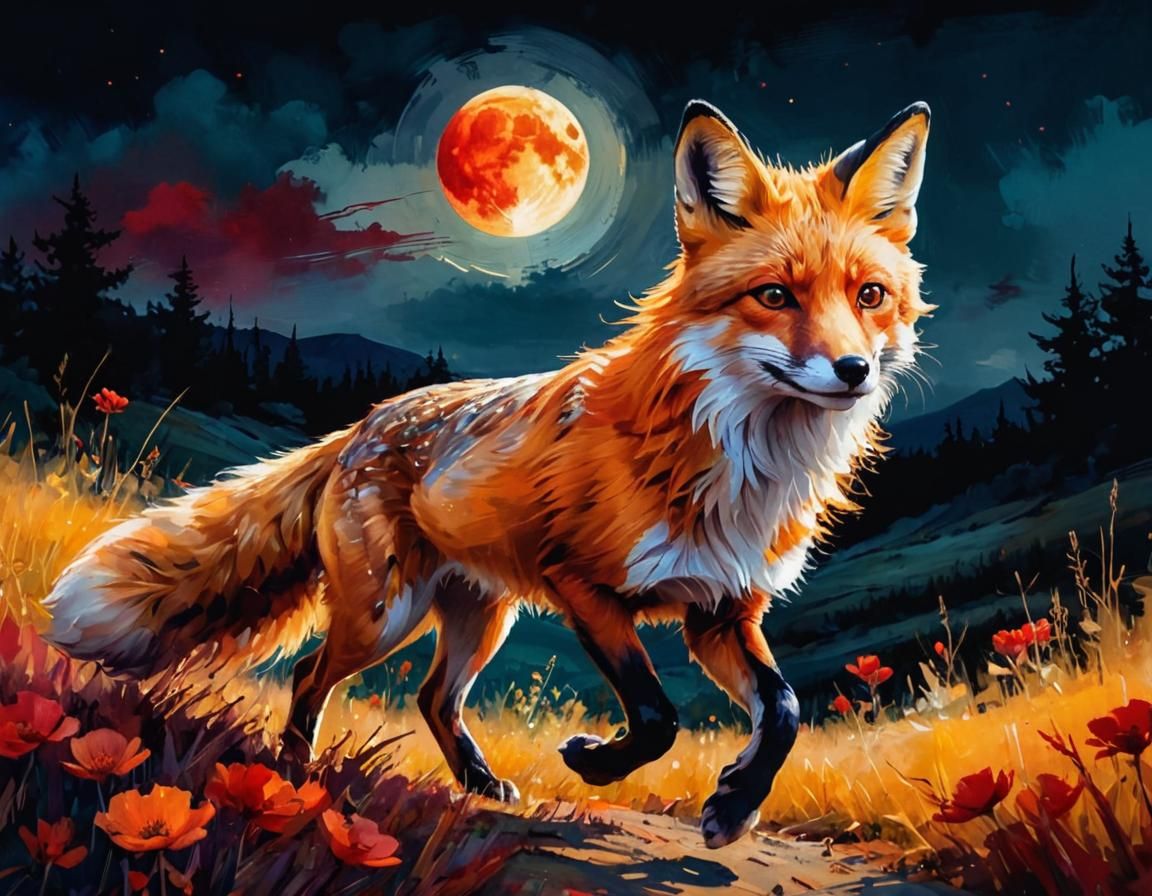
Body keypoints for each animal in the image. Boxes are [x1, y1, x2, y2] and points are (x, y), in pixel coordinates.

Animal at [42, 99, 932, 847]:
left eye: (870, 295)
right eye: (775, 295)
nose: (853, 370)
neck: (740, 471)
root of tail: (362, 424)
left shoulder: (722, 610)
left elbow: (781, 710)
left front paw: (734, 804)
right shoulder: (585, 586)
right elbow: (656, 717)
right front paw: (598, 763)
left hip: (482, 615)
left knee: (434, 697)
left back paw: (474, 781)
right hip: (387, 614)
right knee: (308, 673)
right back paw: (295, 777)